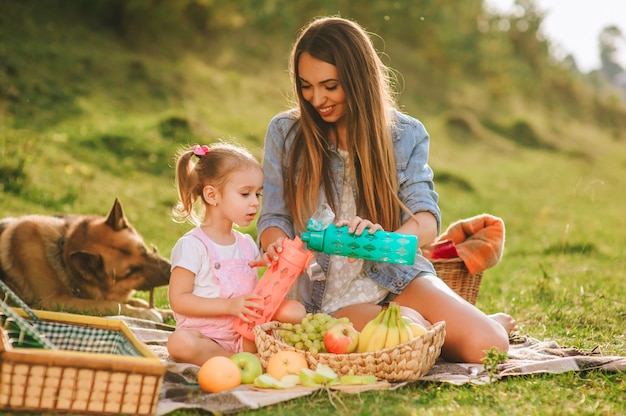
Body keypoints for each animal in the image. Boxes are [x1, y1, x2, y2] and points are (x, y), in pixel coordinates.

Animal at [0, 198, 171, 322]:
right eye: (132, 271)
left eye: (144, 249)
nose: (171, 271)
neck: (62, 257)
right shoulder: (52, 302)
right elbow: (110, 304)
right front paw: (146, 313)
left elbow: (137, 301)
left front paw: (161, 311)